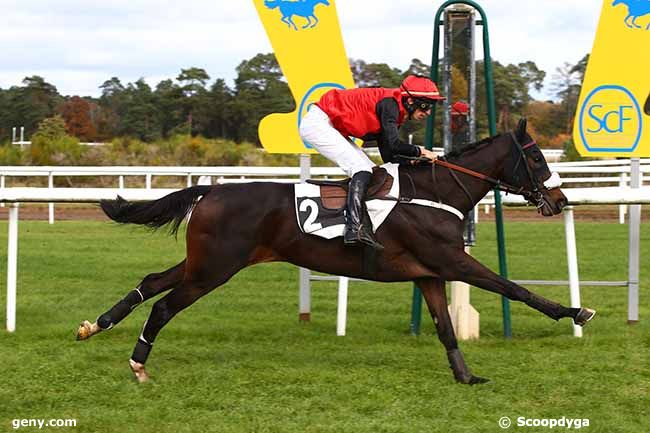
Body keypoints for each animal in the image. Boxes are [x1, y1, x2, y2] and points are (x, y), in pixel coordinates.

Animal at [74, 119, 592, 384]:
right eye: (538, 157)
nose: (561, 199)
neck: (434, 192)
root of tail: (211, 190)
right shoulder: (452, 260)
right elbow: (513, 287)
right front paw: (574, 311)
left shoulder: (429, 273)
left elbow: (446, 327)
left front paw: (466, 377)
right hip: (214, 270)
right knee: (163, 304)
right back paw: (139, 363)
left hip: (203, 262)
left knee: (150, 283)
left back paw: (95, 326)